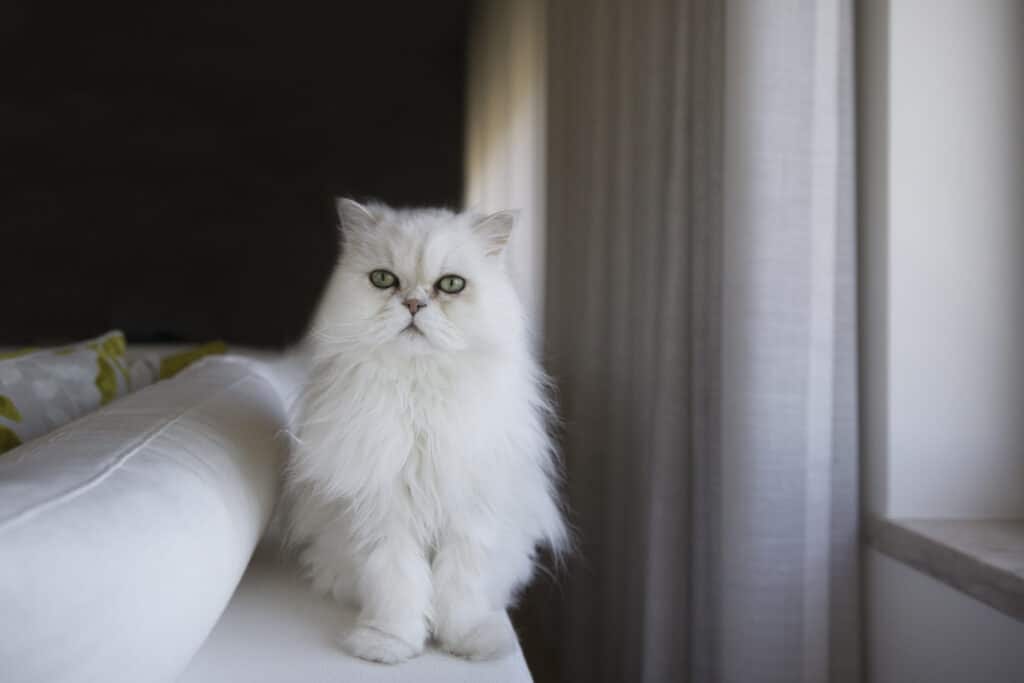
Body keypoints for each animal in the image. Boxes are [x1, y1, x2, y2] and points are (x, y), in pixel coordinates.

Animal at [282, 197, 569, 663]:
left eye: (450, 285)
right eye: (383, 280)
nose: (414, 304)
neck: (420, 395)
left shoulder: (470, 515)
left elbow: (461, 588)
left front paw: (467, 642)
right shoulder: (384, 515)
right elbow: (398, 585)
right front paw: (389, 644)